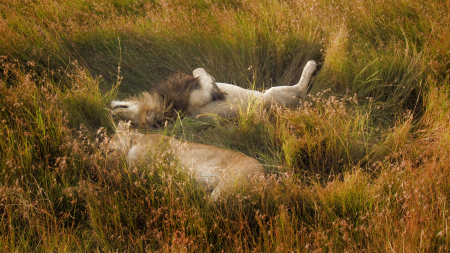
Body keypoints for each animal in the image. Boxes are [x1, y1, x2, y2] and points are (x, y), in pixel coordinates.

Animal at [104, 121, 268, 201]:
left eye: (110, 138)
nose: (101, 147)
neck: (136, 140)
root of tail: (264, 174)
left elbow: (127, 174)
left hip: (228, 183)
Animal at [111, 60, 318, 128]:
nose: (112, 111)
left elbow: (198, 71)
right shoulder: (199, 99)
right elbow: (202, 78)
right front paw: (215, 87)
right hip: (270, 96)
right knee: (301, 90)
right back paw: (311, 66)